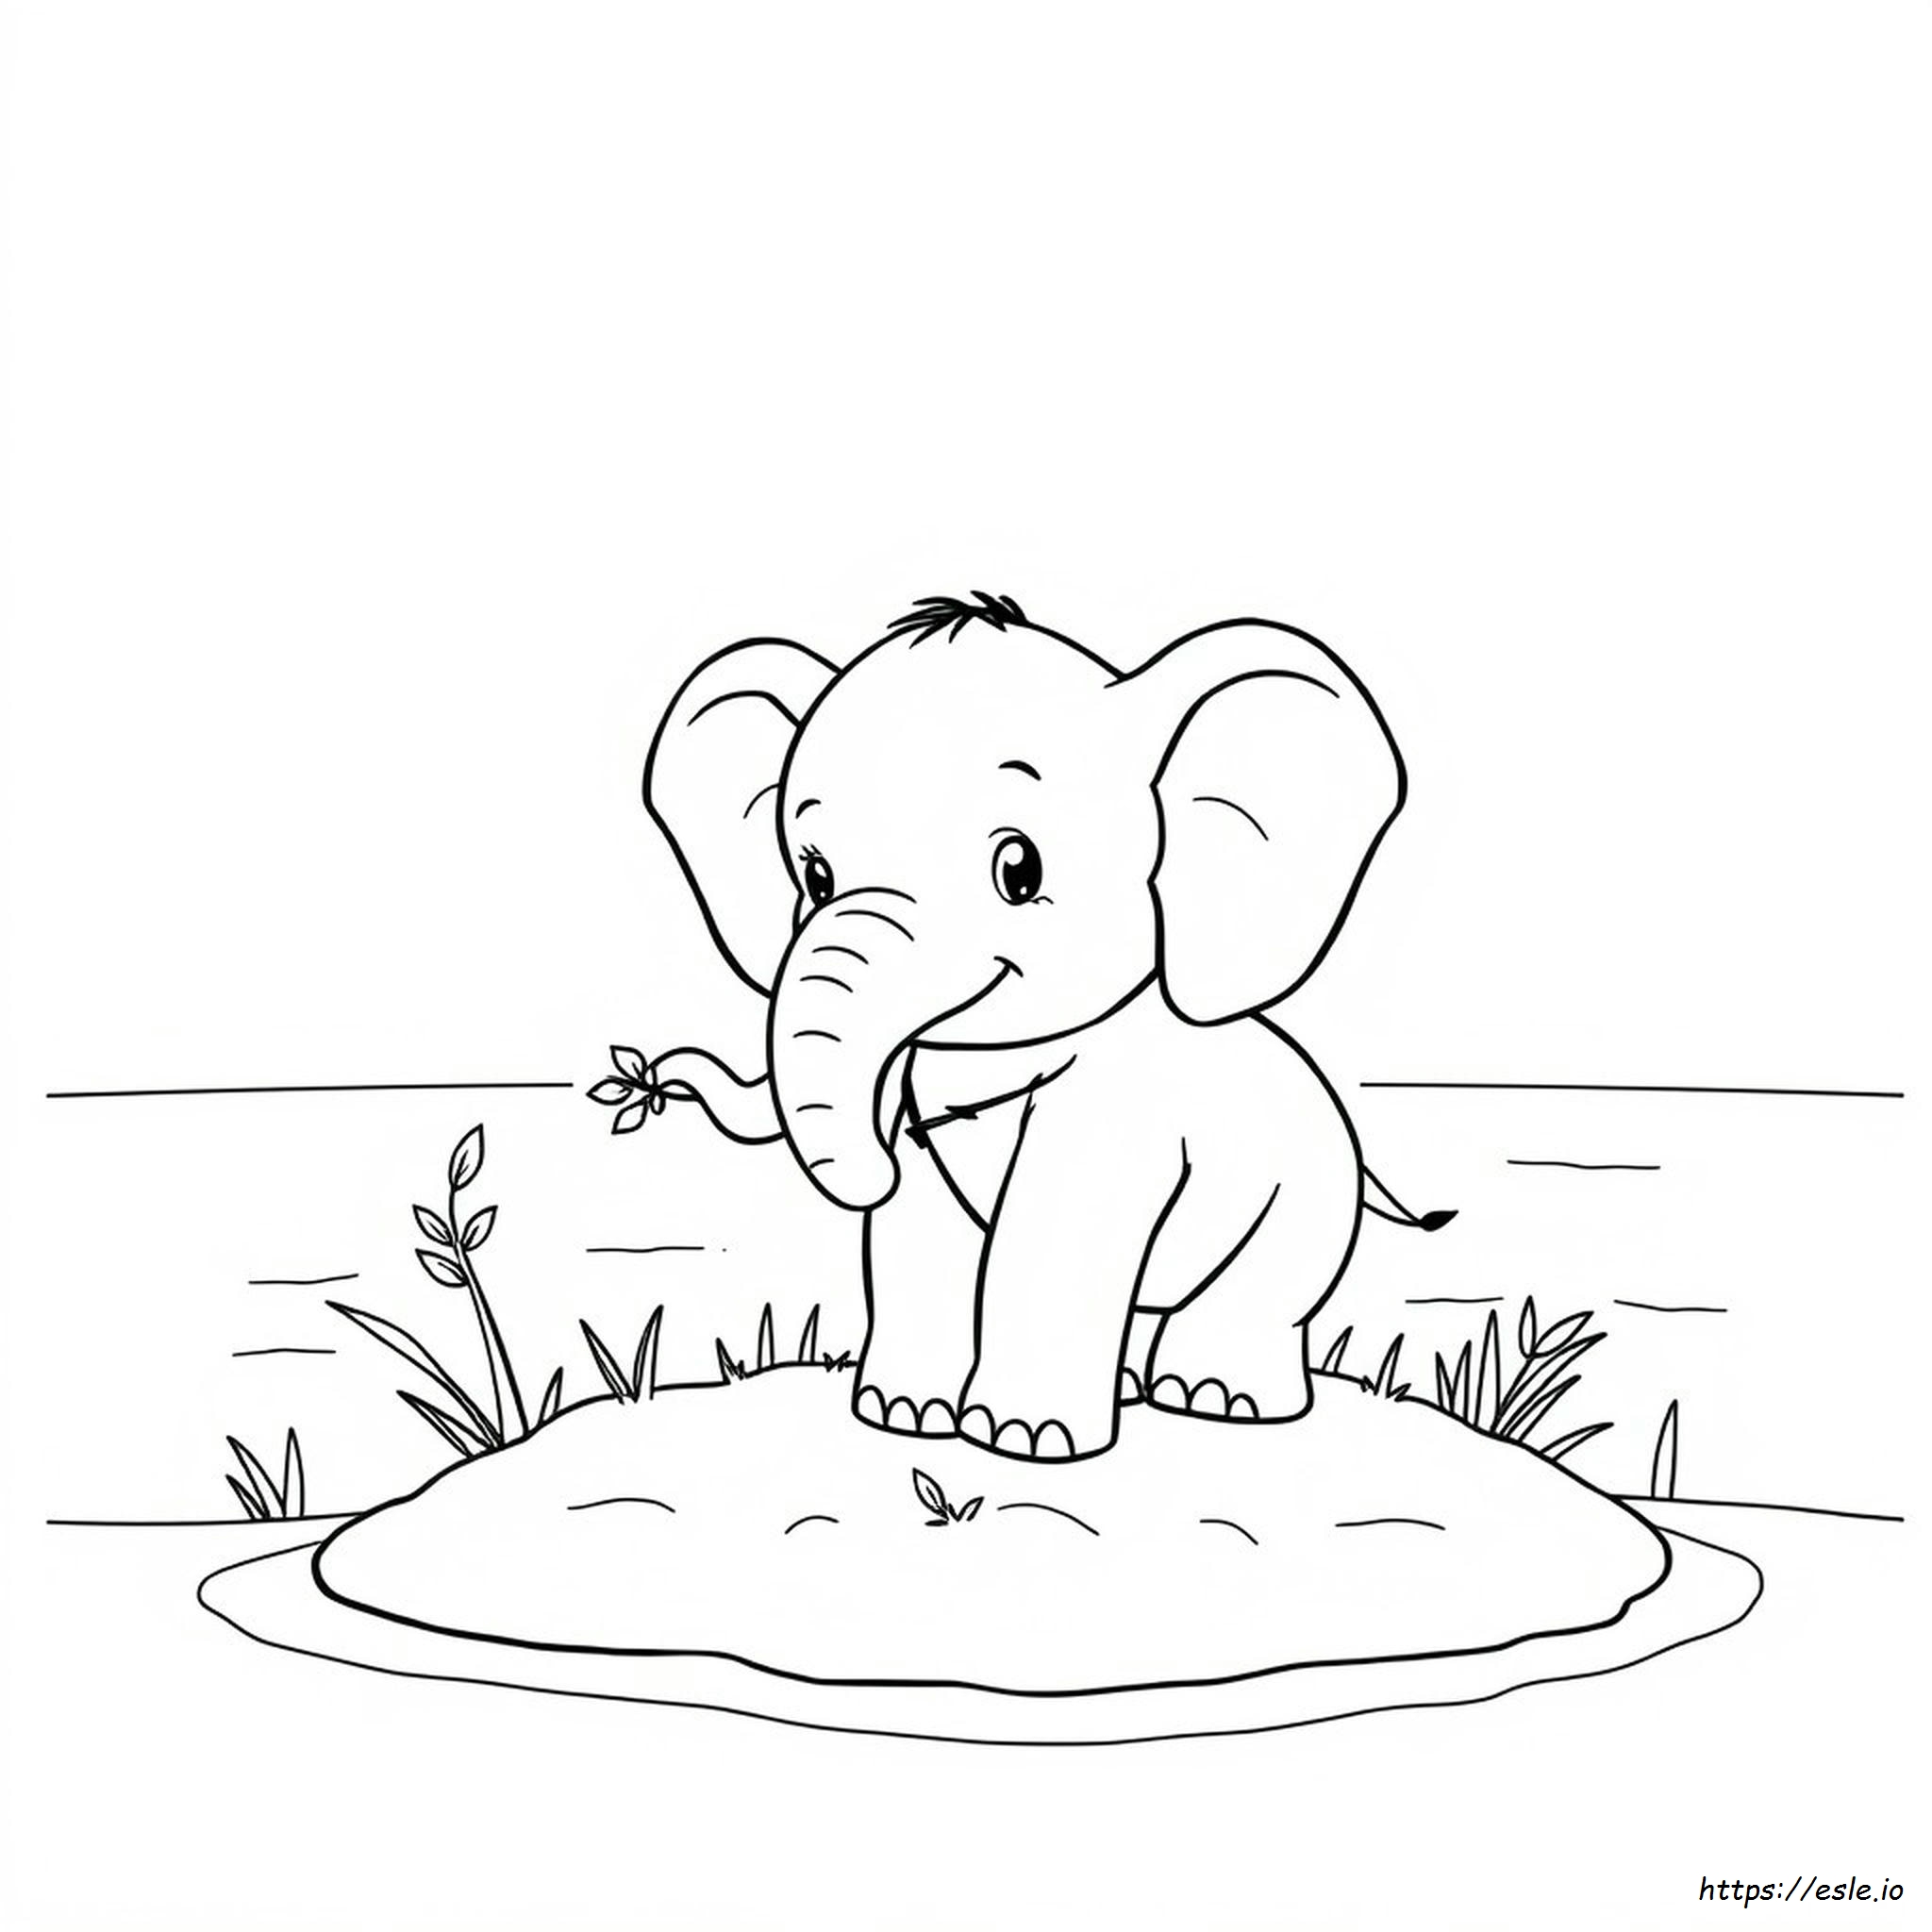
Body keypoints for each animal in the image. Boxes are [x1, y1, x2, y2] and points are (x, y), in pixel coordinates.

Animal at [642, 591, 1449, 1462]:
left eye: (1019, 870)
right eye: (816, 877)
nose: (652, 1077)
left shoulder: (1119, 1111)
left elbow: (1054, 1228)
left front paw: (1021, 1440)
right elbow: (922, 1228)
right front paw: (905, 1417)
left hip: (1305, 1201)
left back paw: (1217, 1399)